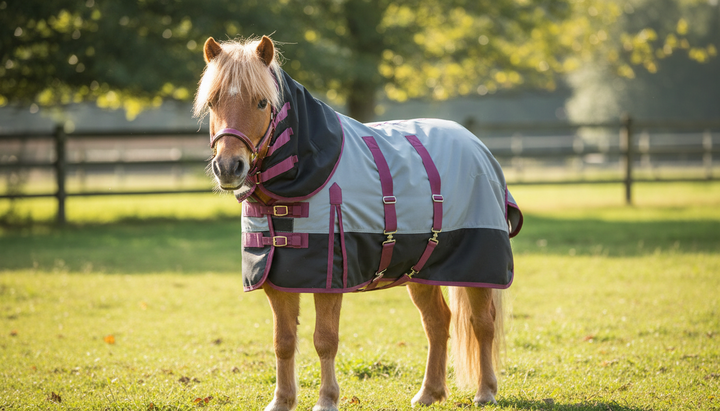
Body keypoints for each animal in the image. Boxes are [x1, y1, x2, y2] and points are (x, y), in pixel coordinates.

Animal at [194, 35, 523, 411]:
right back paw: (429, 392)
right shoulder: (277, 281)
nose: (228, 167)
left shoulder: (329, 281)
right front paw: (282, 401)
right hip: (420, 271)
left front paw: (327, 399)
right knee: (437, 322)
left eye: (262, 102)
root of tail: (478, 147)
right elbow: (284, 341)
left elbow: (324, 340)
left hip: (479, 267)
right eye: (213, 101)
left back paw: (485, 391)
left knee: (482, 323)